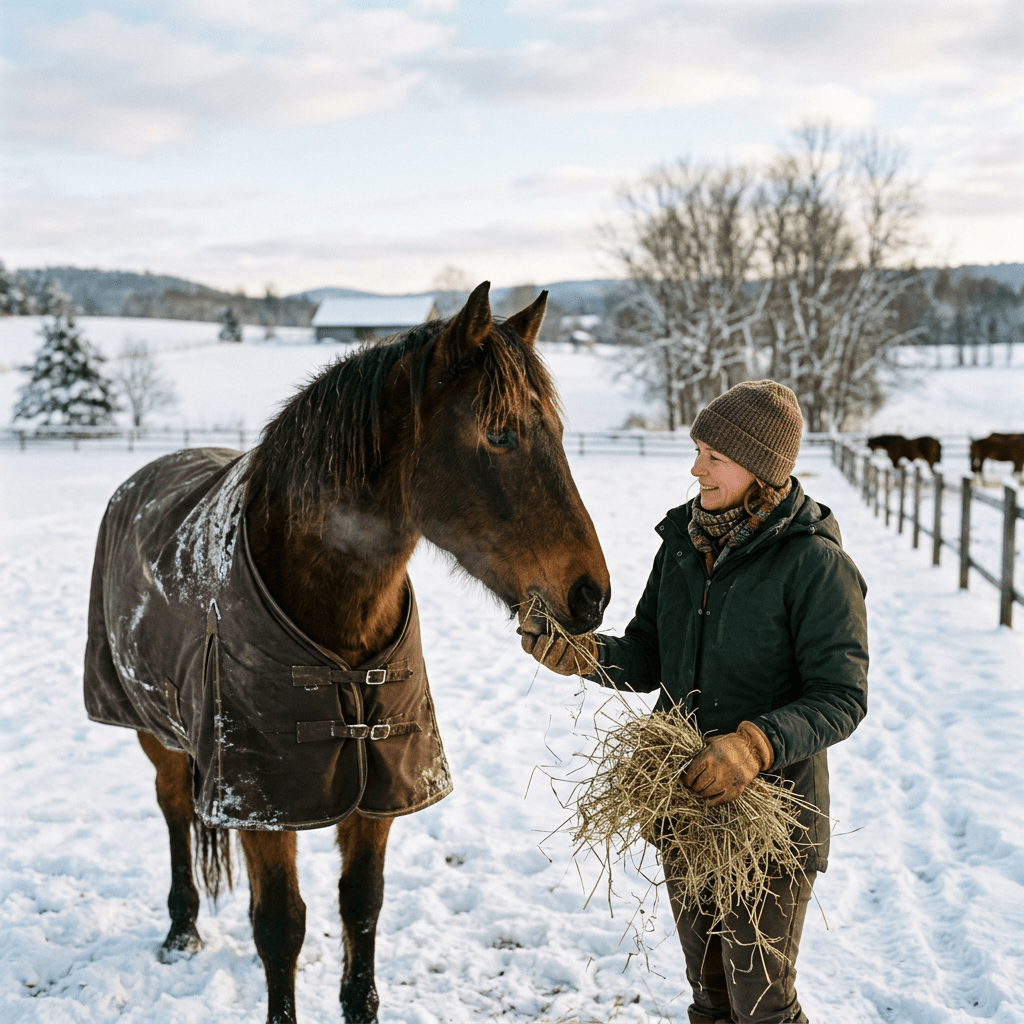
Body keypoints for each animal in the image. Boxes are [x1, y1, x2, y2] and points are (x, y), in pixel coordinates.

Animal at [83, 282, 611, 1024]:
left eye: (558, 434)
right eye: (500, 434)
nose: (591, 595)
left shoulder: (377, 785)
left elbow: (361, 907)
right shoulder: (263, 800)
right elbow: (280, 925)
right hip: (157, 735)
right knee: (176, 811)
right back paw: (181, 928)